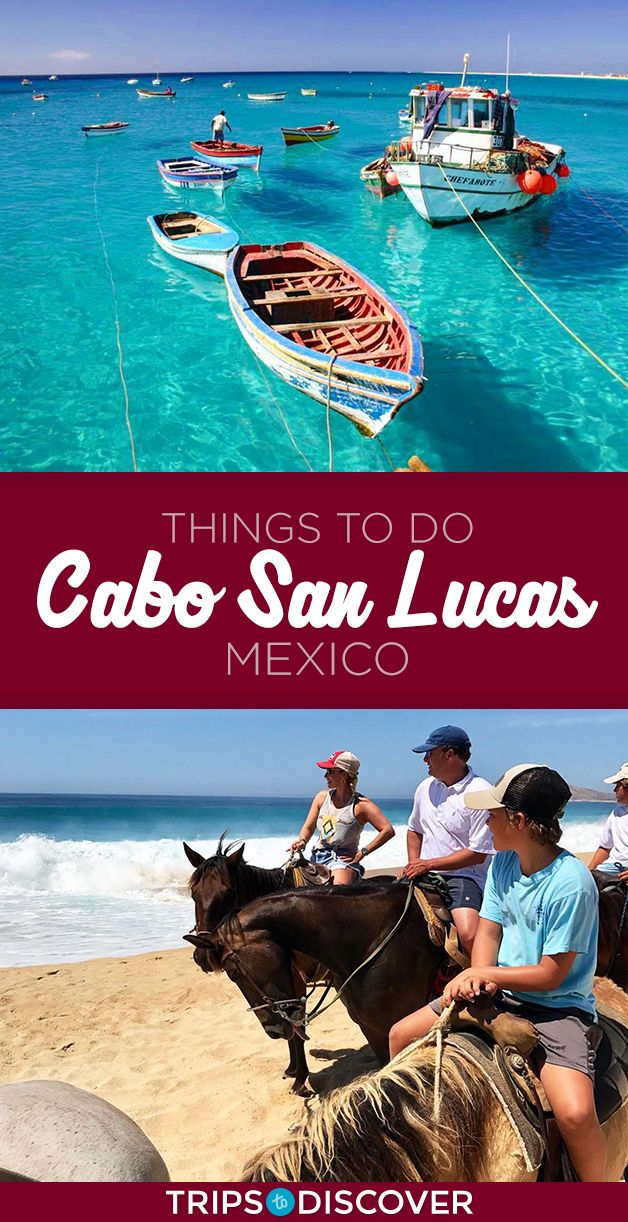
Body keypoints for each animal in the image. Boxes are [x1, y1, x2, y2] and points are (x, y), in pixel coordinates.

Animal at [183, 884, 442, 1094]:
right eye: (193, 894)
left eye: (233, 972)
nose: (272, 1030)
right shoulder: (372, 1029)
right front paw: (295, 1073)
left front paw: (299, 1081)